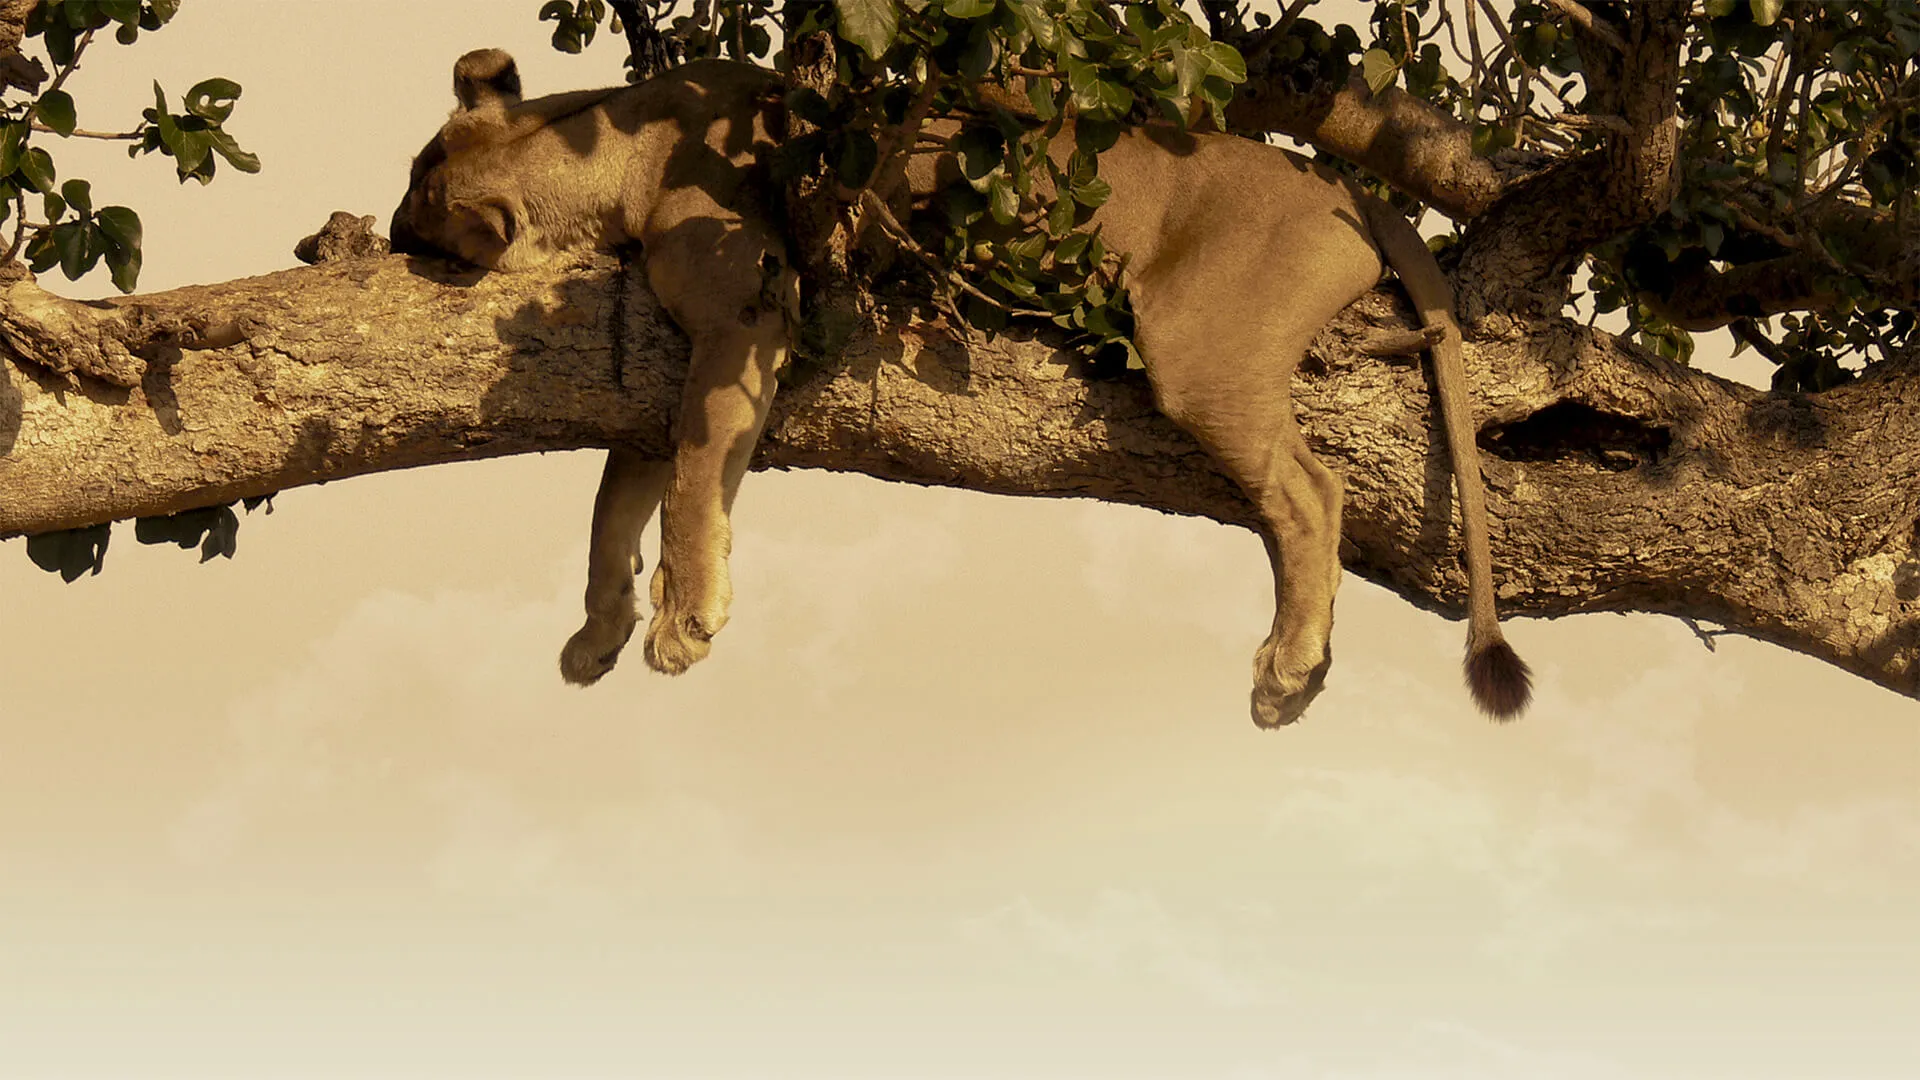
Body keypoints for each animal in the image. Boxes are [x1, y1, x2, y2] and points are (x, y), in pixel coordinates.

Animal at [390, 49, 1530, 726]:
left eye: (416, 203)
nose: (372, 234)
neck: (612, 141)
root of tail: (1348, 184)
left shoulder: (744, 317)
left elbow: (691, 476)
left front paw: (684, 622)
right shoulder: (665, 371)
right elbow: (618, 500)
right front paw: (595, 637)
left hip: (1201, 348)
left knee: (1310, 495)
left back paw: (1287, 668)